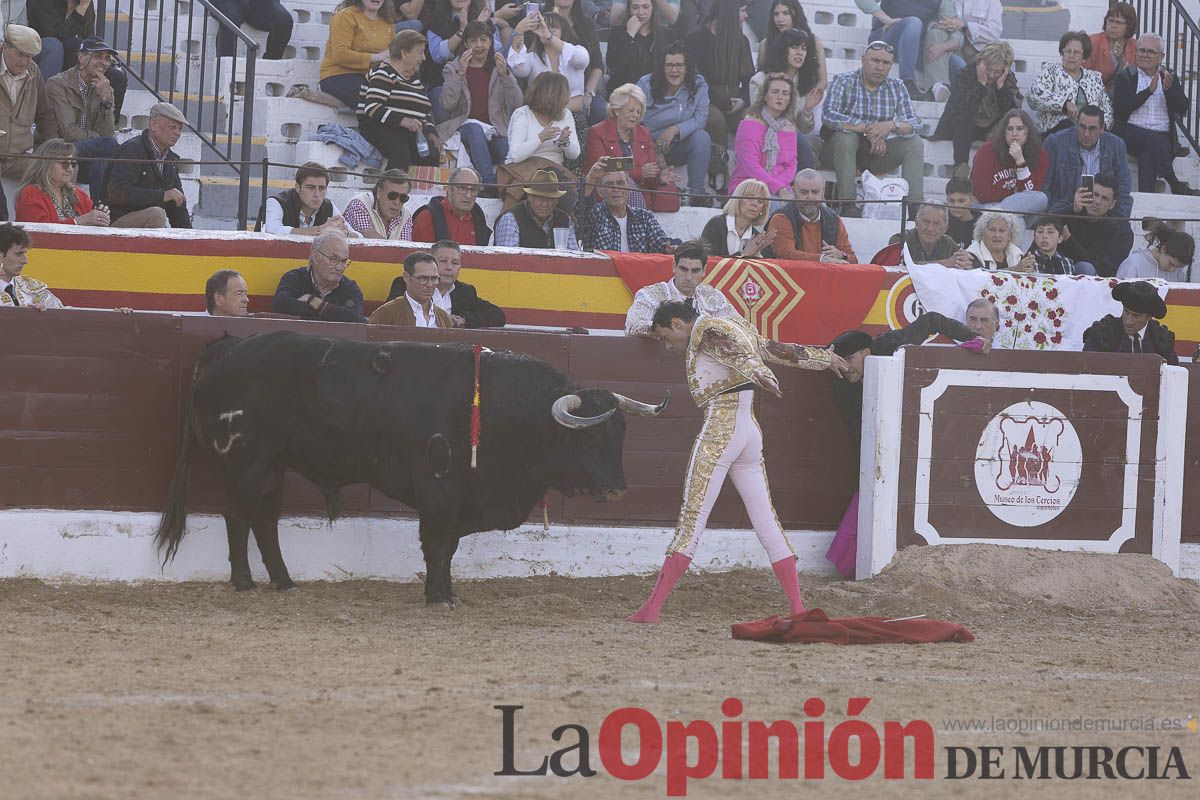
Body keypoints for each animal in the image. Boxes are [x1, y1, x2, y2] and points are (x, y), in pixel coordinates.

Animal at [151, 328, 667, 604]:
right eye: (591, 436)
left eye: (621, 435)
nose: (619, 488)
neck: (509, 413)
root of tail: (230, 344)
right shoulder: (439, 489)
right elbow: (438, 545)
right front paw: (439, 597)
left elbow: (449, 548)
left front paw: (447, 592)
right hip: (246, 461)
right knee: (237, 517)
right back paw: (244, 582)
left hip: (273, 466)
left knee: (264, 520)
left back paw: (284, 581)